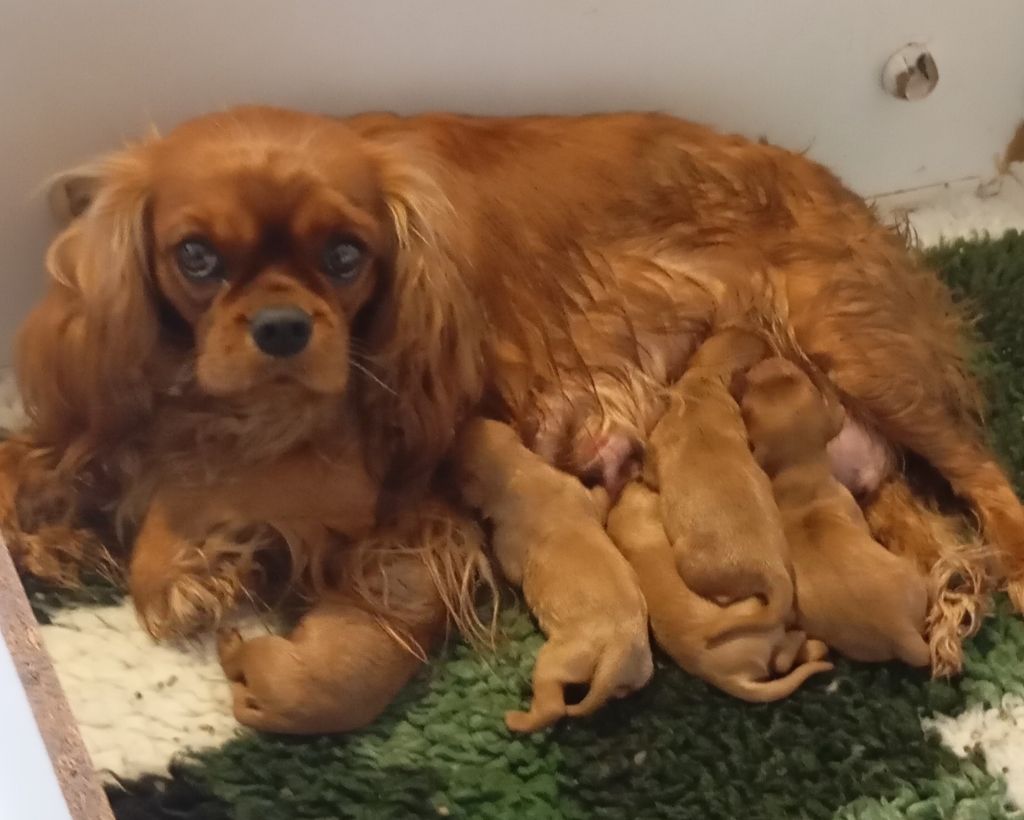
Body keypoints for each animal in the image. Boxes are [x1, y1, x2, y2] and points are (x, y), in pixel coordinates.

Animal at [606, 483, 831, 700]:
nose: (634, 481)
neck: (635, 530)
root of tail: (725, 678)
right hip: (757, 614)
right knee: (783, 659)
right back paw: (812, 642)